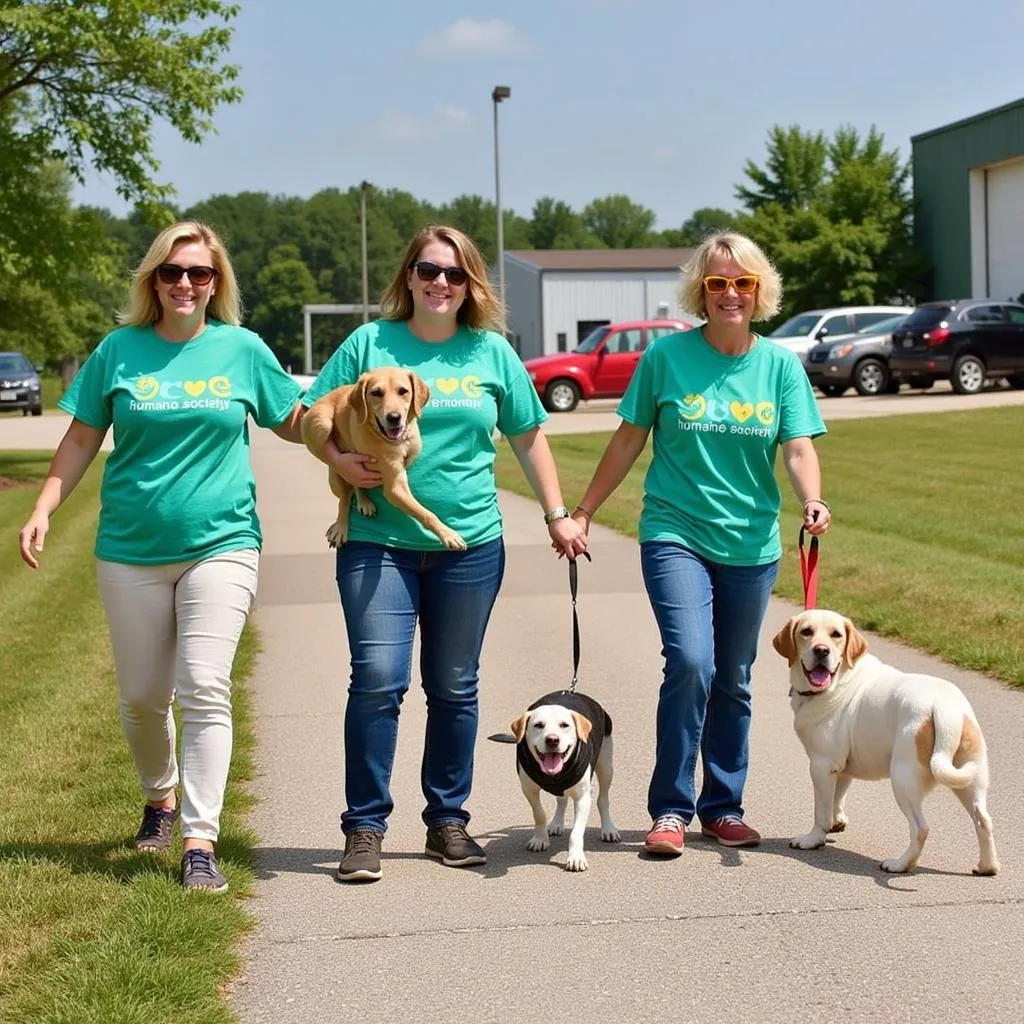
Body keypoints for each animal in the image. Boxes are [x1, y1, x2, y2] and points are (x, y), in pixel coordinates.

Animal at [301, 364, 466, 548]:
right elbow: (426, 513)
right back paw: (340, 527)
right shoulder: (395, 488)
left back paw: (364, 502)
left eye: (403, 391)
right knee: (344, 496)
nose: (394, 418)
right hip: (322, 427)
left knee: (356, 485)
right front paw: (447, 534)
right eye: (376, 393)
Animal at [501, 688, 618, 872]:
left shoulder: (583, 798)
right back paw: (556, 823)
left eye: (564, 725)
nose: (552, 739)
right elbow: (539, 814)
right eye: (538, 725)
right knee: (561, 799)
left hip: (606, 765)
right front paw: (540, 839)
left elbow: (576, 832)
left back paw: (608, 829)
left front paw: (576, 858)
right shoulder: (528, 789)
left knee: (603, 799)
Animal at [770, 610, 995, 876]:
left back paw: (900, 864)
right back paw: (987, 866)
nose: (821, 651)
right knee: (983, 819)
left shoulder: (821, 766)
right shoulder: (841, 768)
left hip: (903, 781)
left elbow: (821, 812)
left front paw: (813, 839)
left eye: (836, 634)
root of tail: (943, 705)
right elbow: (837, 797)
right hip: (970, 779)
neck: (840, 679)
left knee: (921, 828)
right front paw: (837, 822)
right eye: (806, 632)